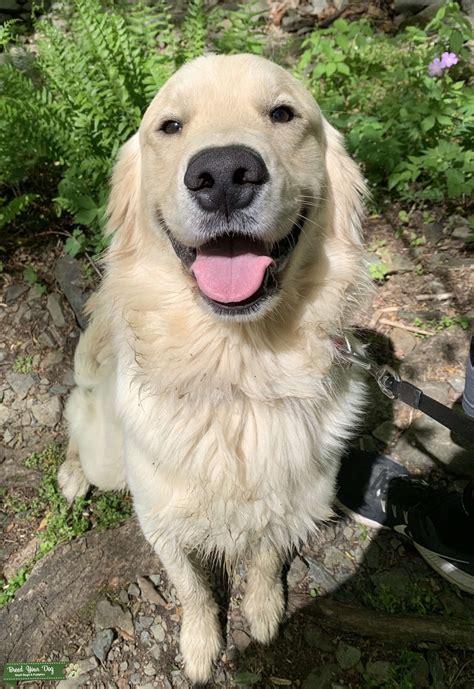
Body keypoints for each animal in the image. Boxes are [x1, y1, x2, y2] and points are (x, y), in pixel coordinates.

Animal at [58, 53, 370, 684]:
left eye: (283, 113)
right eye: (170, 126)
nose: (224, 174)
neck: (238, 370)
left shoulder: (294, 499)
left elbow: (267, 557)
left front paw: (266, 609)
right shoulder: (161, 520)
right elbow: (193, 589)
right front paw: (201, 645)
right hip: (109, 456)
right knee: (75, 414)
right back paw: (72, 474)